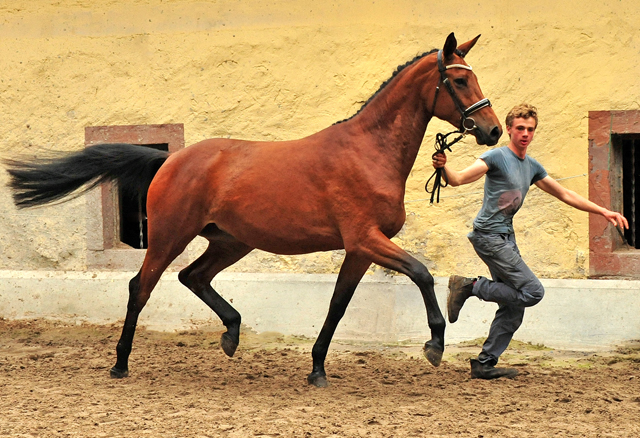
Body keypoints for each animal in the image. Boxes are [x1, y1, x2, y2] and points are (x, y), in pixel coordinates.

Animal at [6, 32, 504, 386]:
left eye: (476, 76)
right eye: (460, 80)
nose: (493, 130)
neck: (368, 152)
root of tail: (170, 160)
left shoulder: (360, 249)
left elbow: (338, 305)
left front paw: (317, 369)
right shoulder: (366, 239)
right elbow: (421, 273)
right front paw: (435, 343)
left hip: (231, 242)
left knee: (193, 277)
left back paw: (231, 333)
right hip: (170, 236)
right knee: (140, 287)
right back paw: (121, 363)